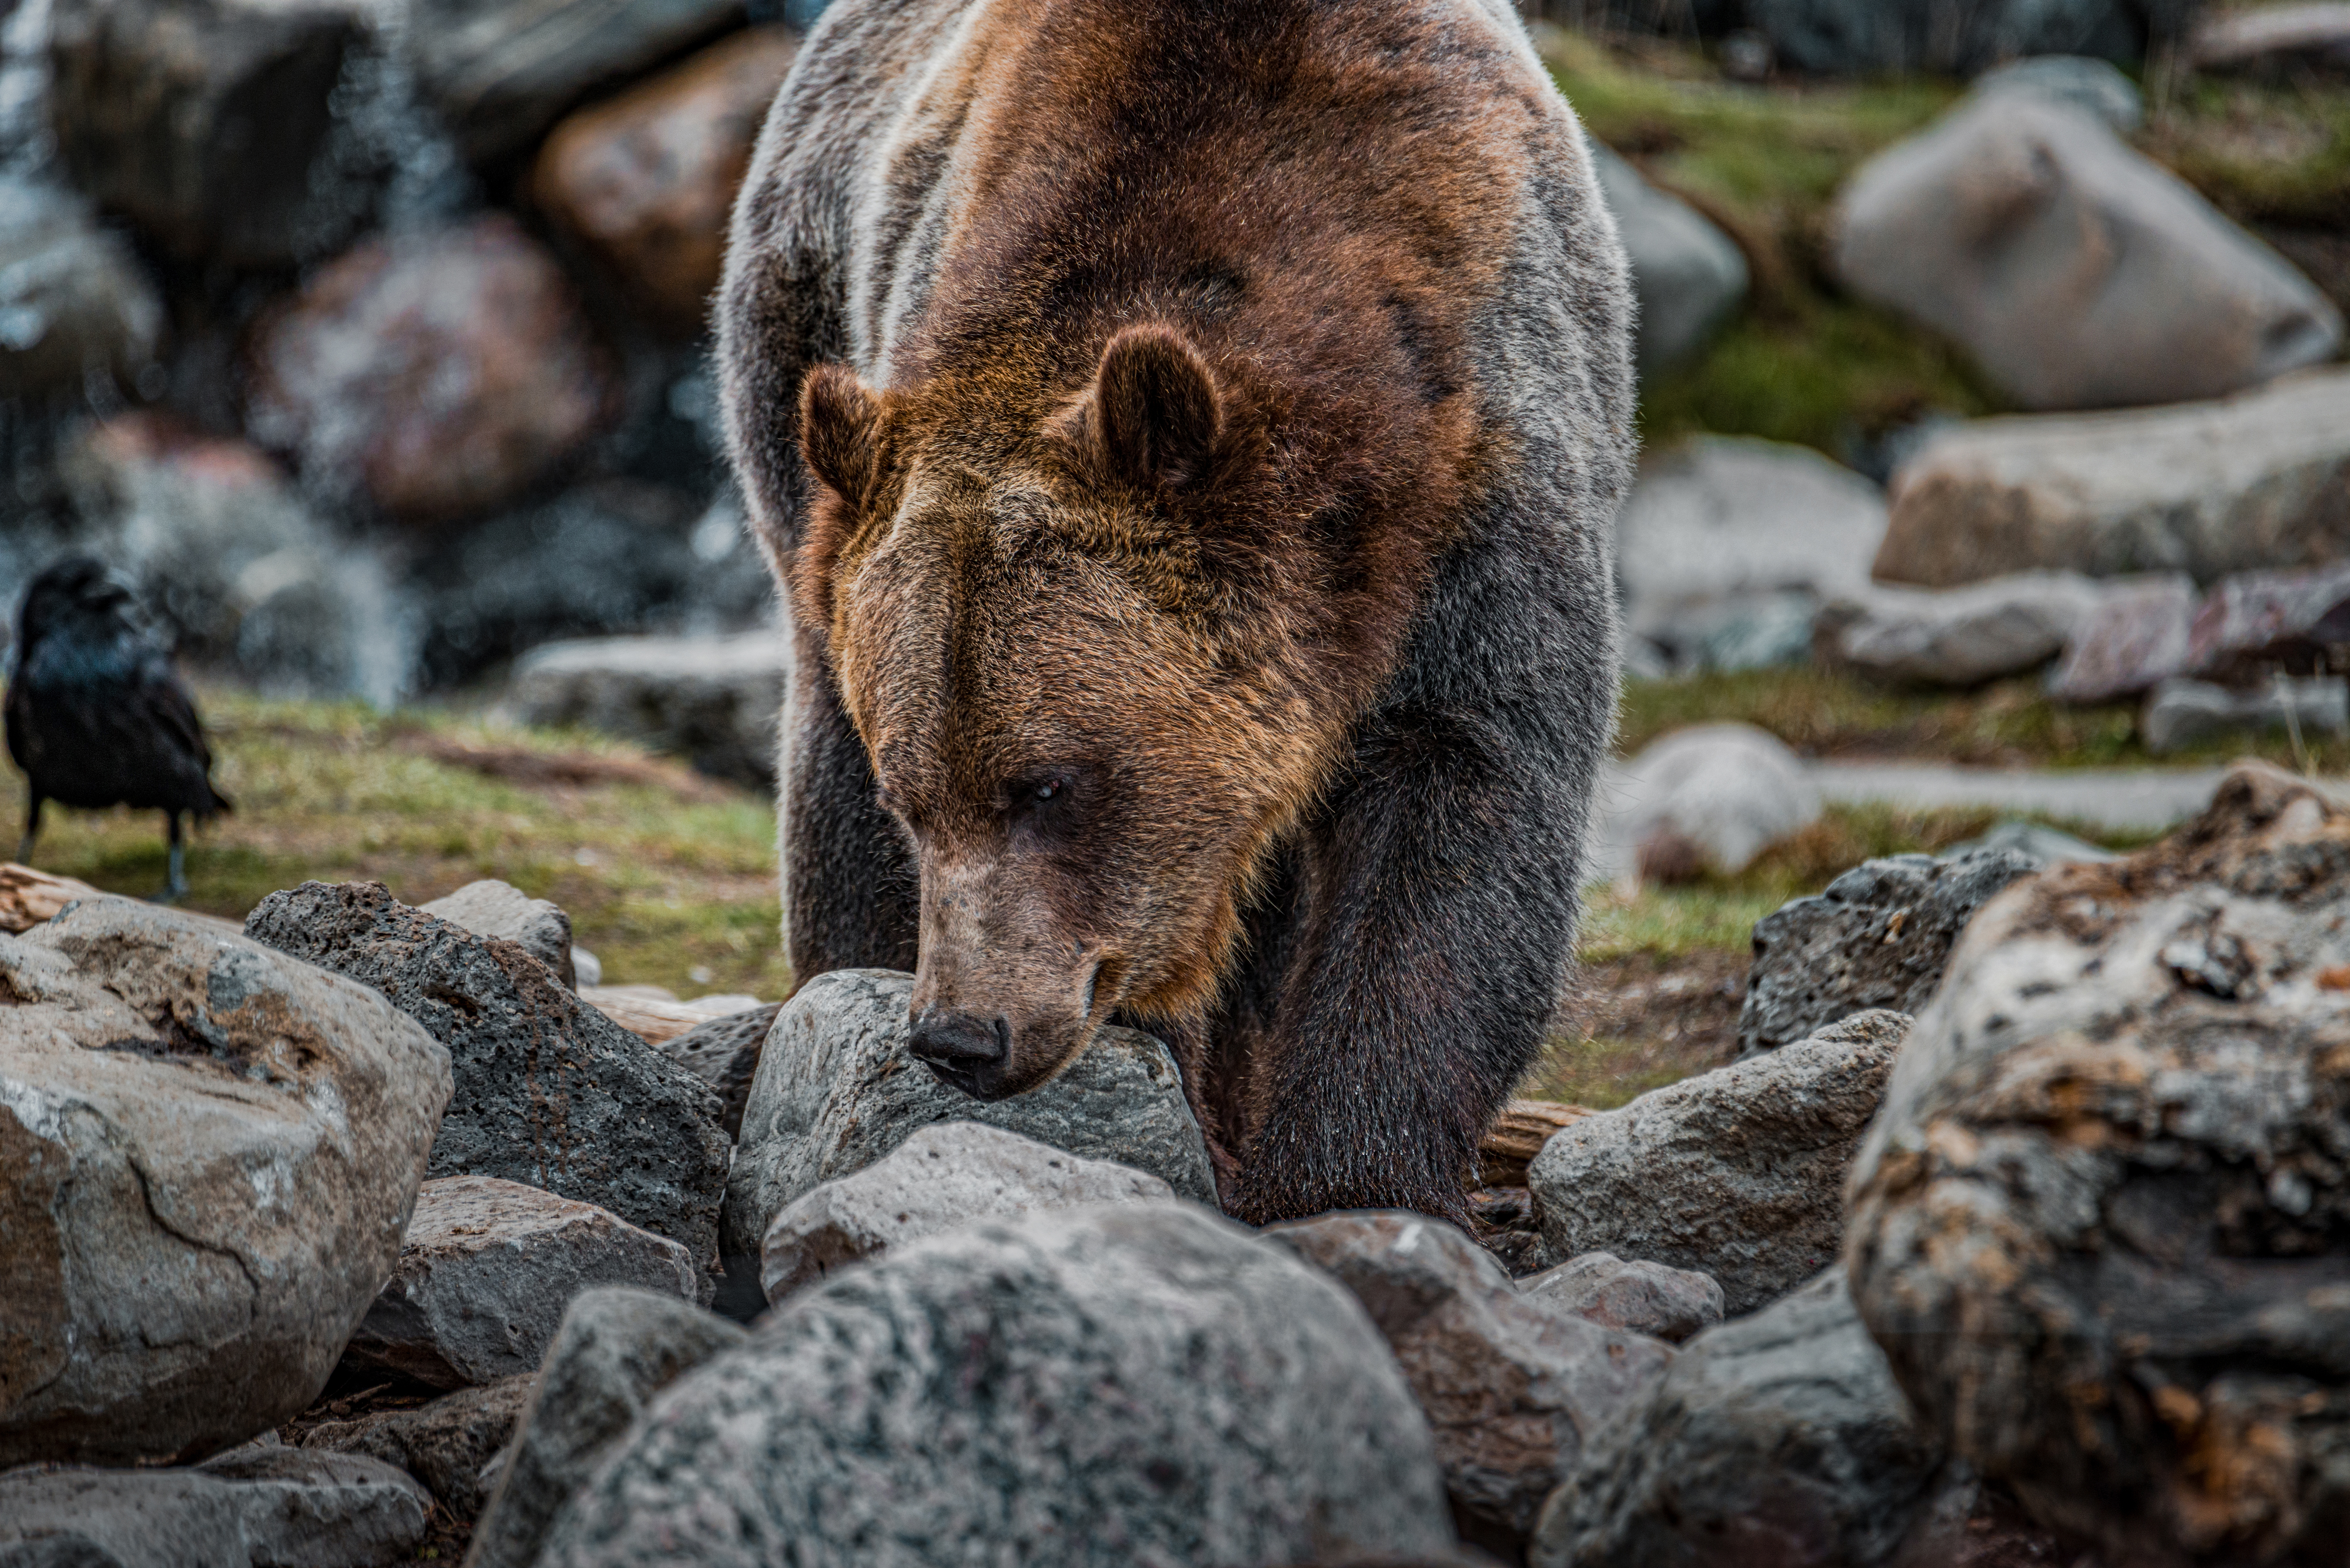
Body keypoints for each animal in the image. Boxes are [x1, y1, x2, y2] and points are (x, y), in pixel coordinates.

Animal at [717, 0, 1633, 1225]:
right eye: (913, 799)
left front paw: (1348, 1181)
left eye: (1045, 785)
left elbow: (1463, 817)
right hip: (798, 368)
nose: (962, 1034)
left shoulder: (1486, 491)